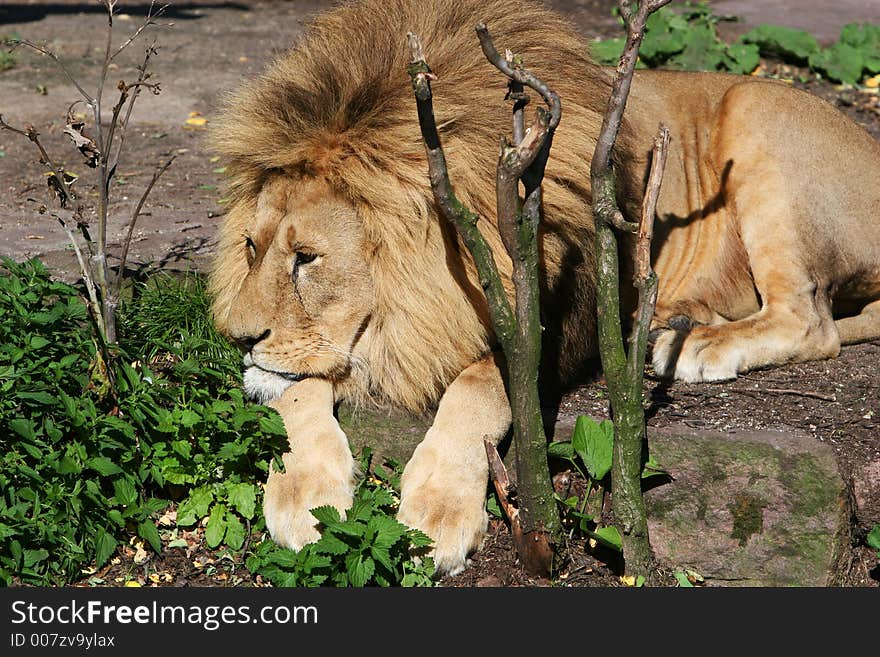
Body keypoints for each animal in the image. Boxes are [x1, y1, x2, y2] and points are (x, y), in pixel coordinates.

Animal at [210, 0, 880, 576]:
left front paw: (435, 512)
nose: (235, 338)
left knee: (811, 320)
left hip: (756, 114)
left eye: (306, 259)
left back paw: (692, 346)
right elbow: (294, 389)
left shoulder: (555, 327)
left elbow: (480, 386)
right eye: (250, 248)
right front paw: (305, 497)